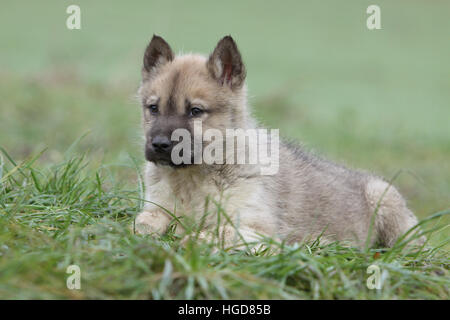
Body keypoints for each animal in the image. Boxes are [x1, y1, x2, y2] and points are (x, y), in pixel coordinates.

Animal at [133, 35, 422, 250]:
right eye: (153, 108)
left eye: (195, 111)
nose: (159, 145)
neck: (192, 180)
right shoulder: (158, 208)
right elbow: (142, 222)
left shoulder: (258, 229)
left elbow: (214, 233)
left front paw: (188, 240)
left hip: (386, 203)